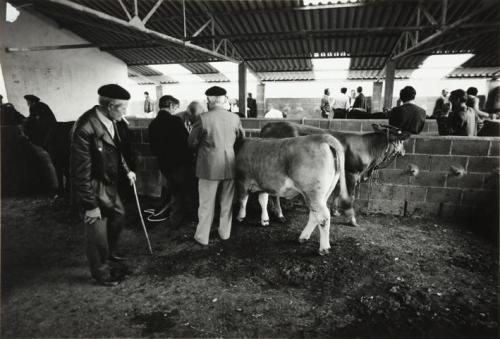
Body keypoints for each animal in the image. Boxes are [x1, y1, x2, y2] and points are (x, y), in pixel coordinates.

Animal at [258, 121, 410, 227]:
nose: (404, 151)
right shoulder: (352, 174)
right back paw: (279, 215)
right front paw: (351, 219)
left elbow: (337, 192)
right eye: (401, 137)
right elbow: (350, 196)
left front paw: (335, 211)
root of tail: (269, 125)